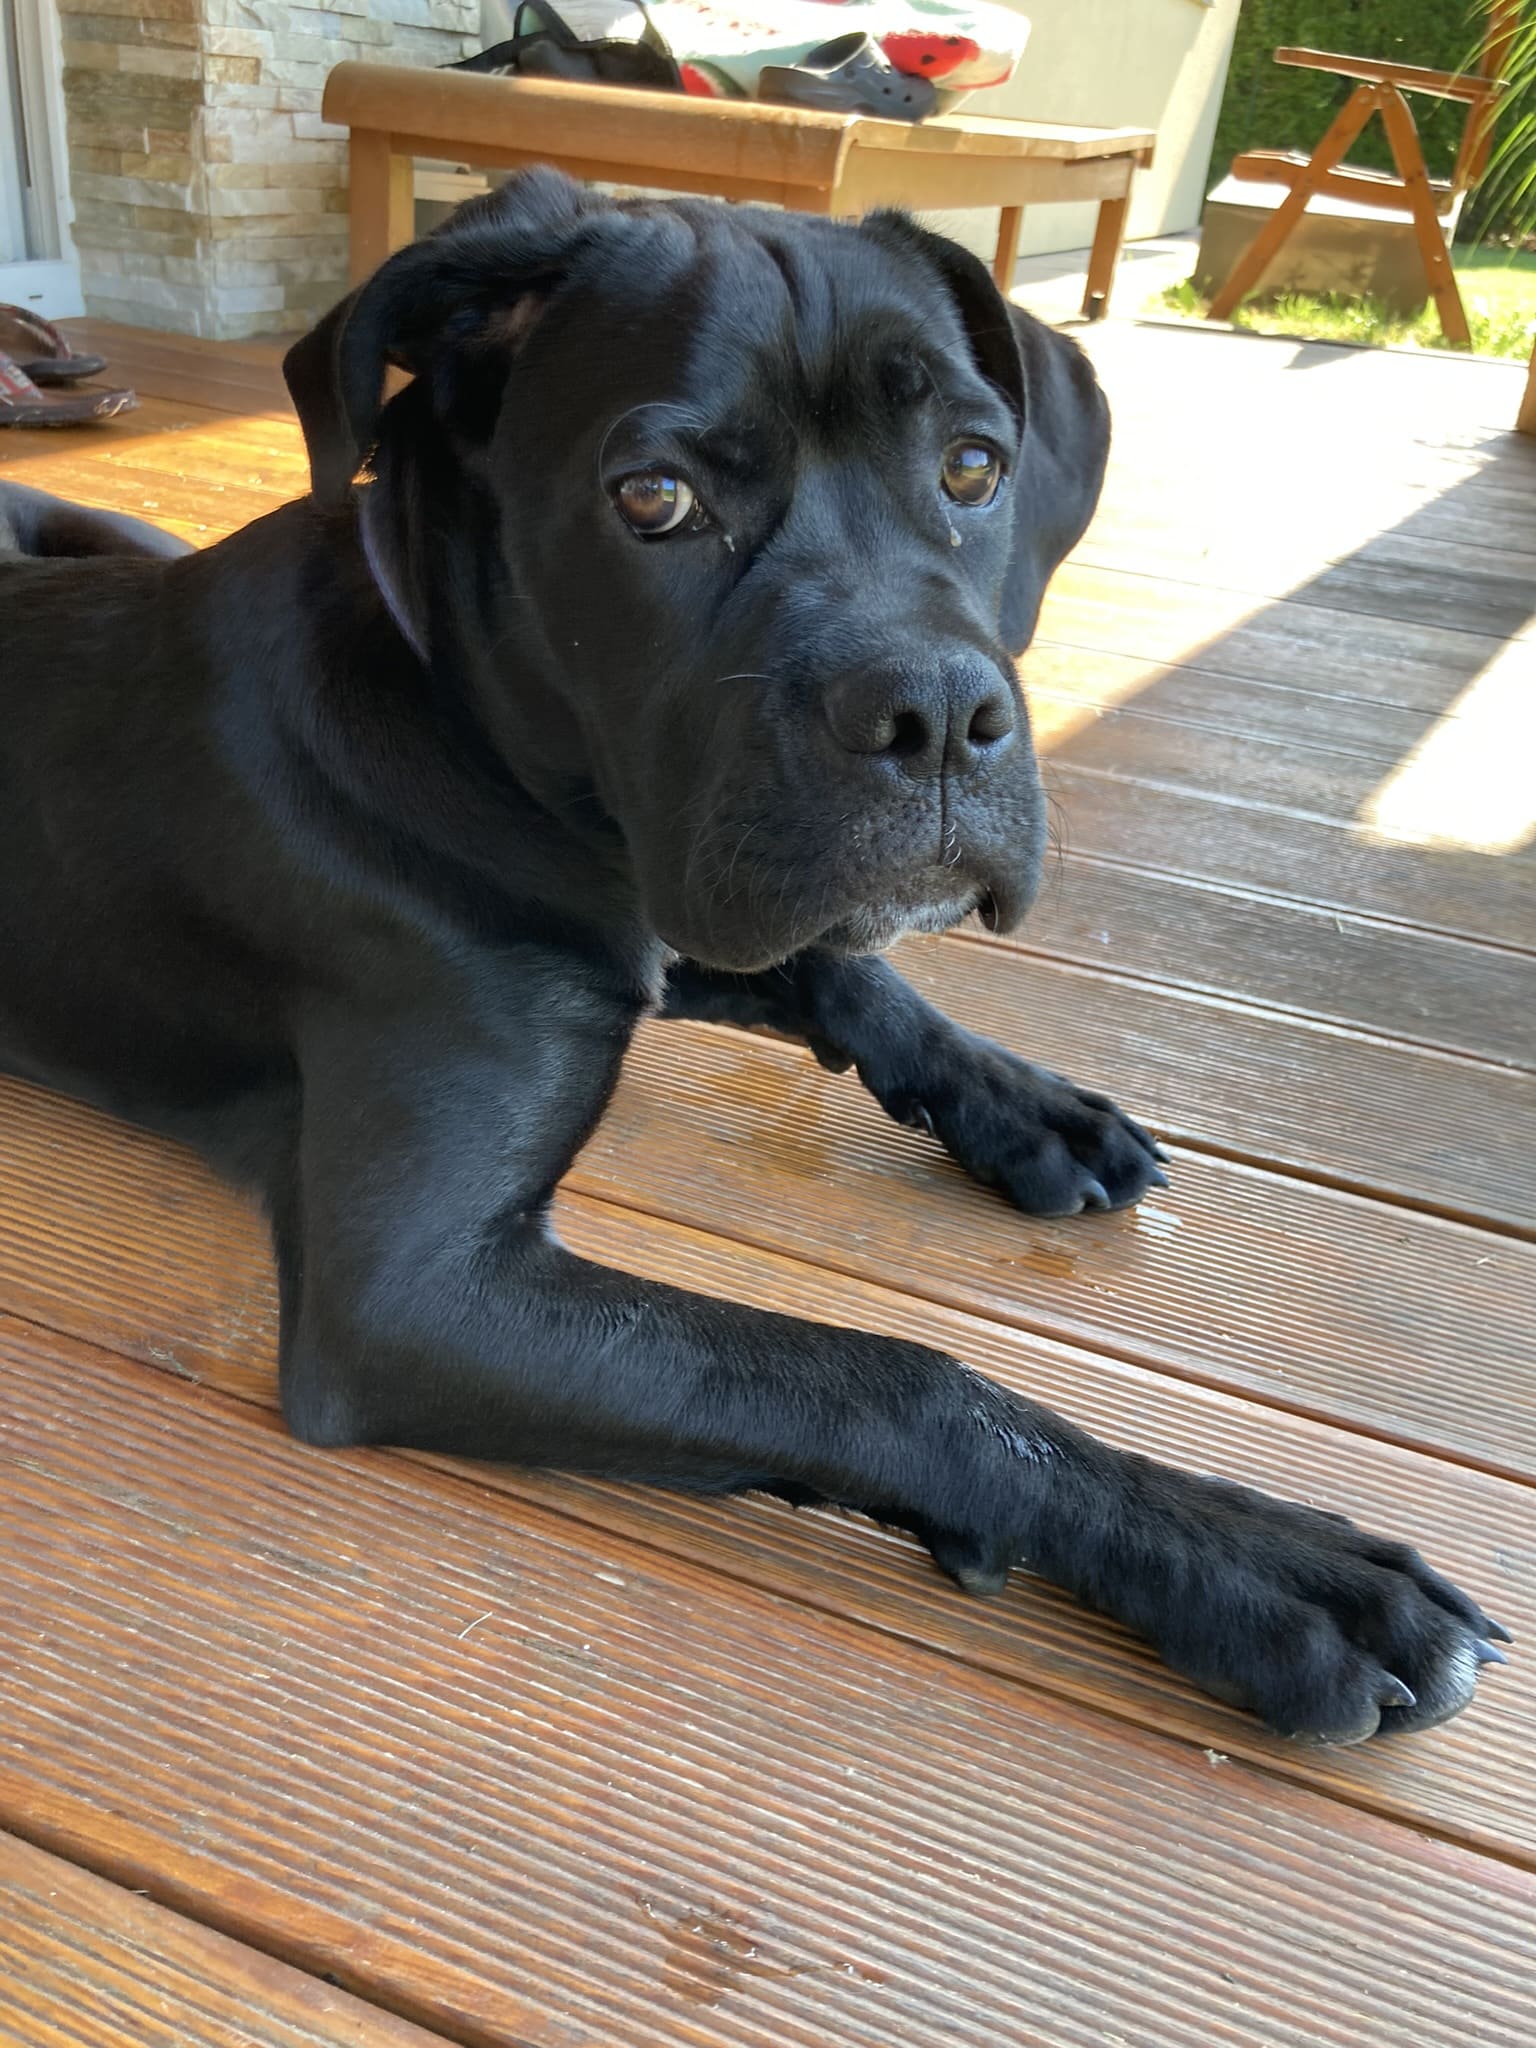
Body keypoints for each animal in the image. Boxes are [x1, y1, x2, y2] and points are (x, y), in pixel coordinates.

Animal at [0, 180, 1515, 1744]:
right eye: (654, 499)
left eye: (974, 466)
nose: (938, 712)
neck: (475, 732)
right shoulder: (414, 1292)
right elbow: (889, 1378)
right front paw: (1254, 1563)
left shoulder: (682, 906)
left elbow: (848, 976)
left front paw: (1024, 1105)